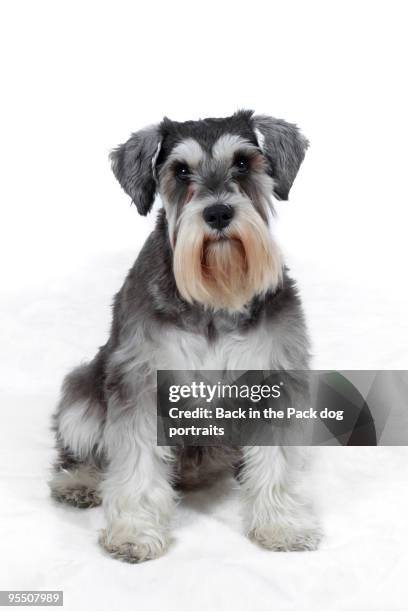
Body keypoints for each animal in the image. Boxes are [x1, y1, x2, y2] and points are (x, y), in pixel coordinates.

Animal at [48, 111, 322, 564]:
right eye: (179, 170)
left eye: (243, 162)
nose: (218, 213)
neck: (215, 299)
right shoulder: (140, 380)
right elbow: (136, 459)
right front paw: (135, 533)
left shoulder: (274, 378)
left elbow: (277, 460)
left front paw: (281, 525)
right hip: (80, 397)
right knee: (84, 450)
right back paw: (79, 482)